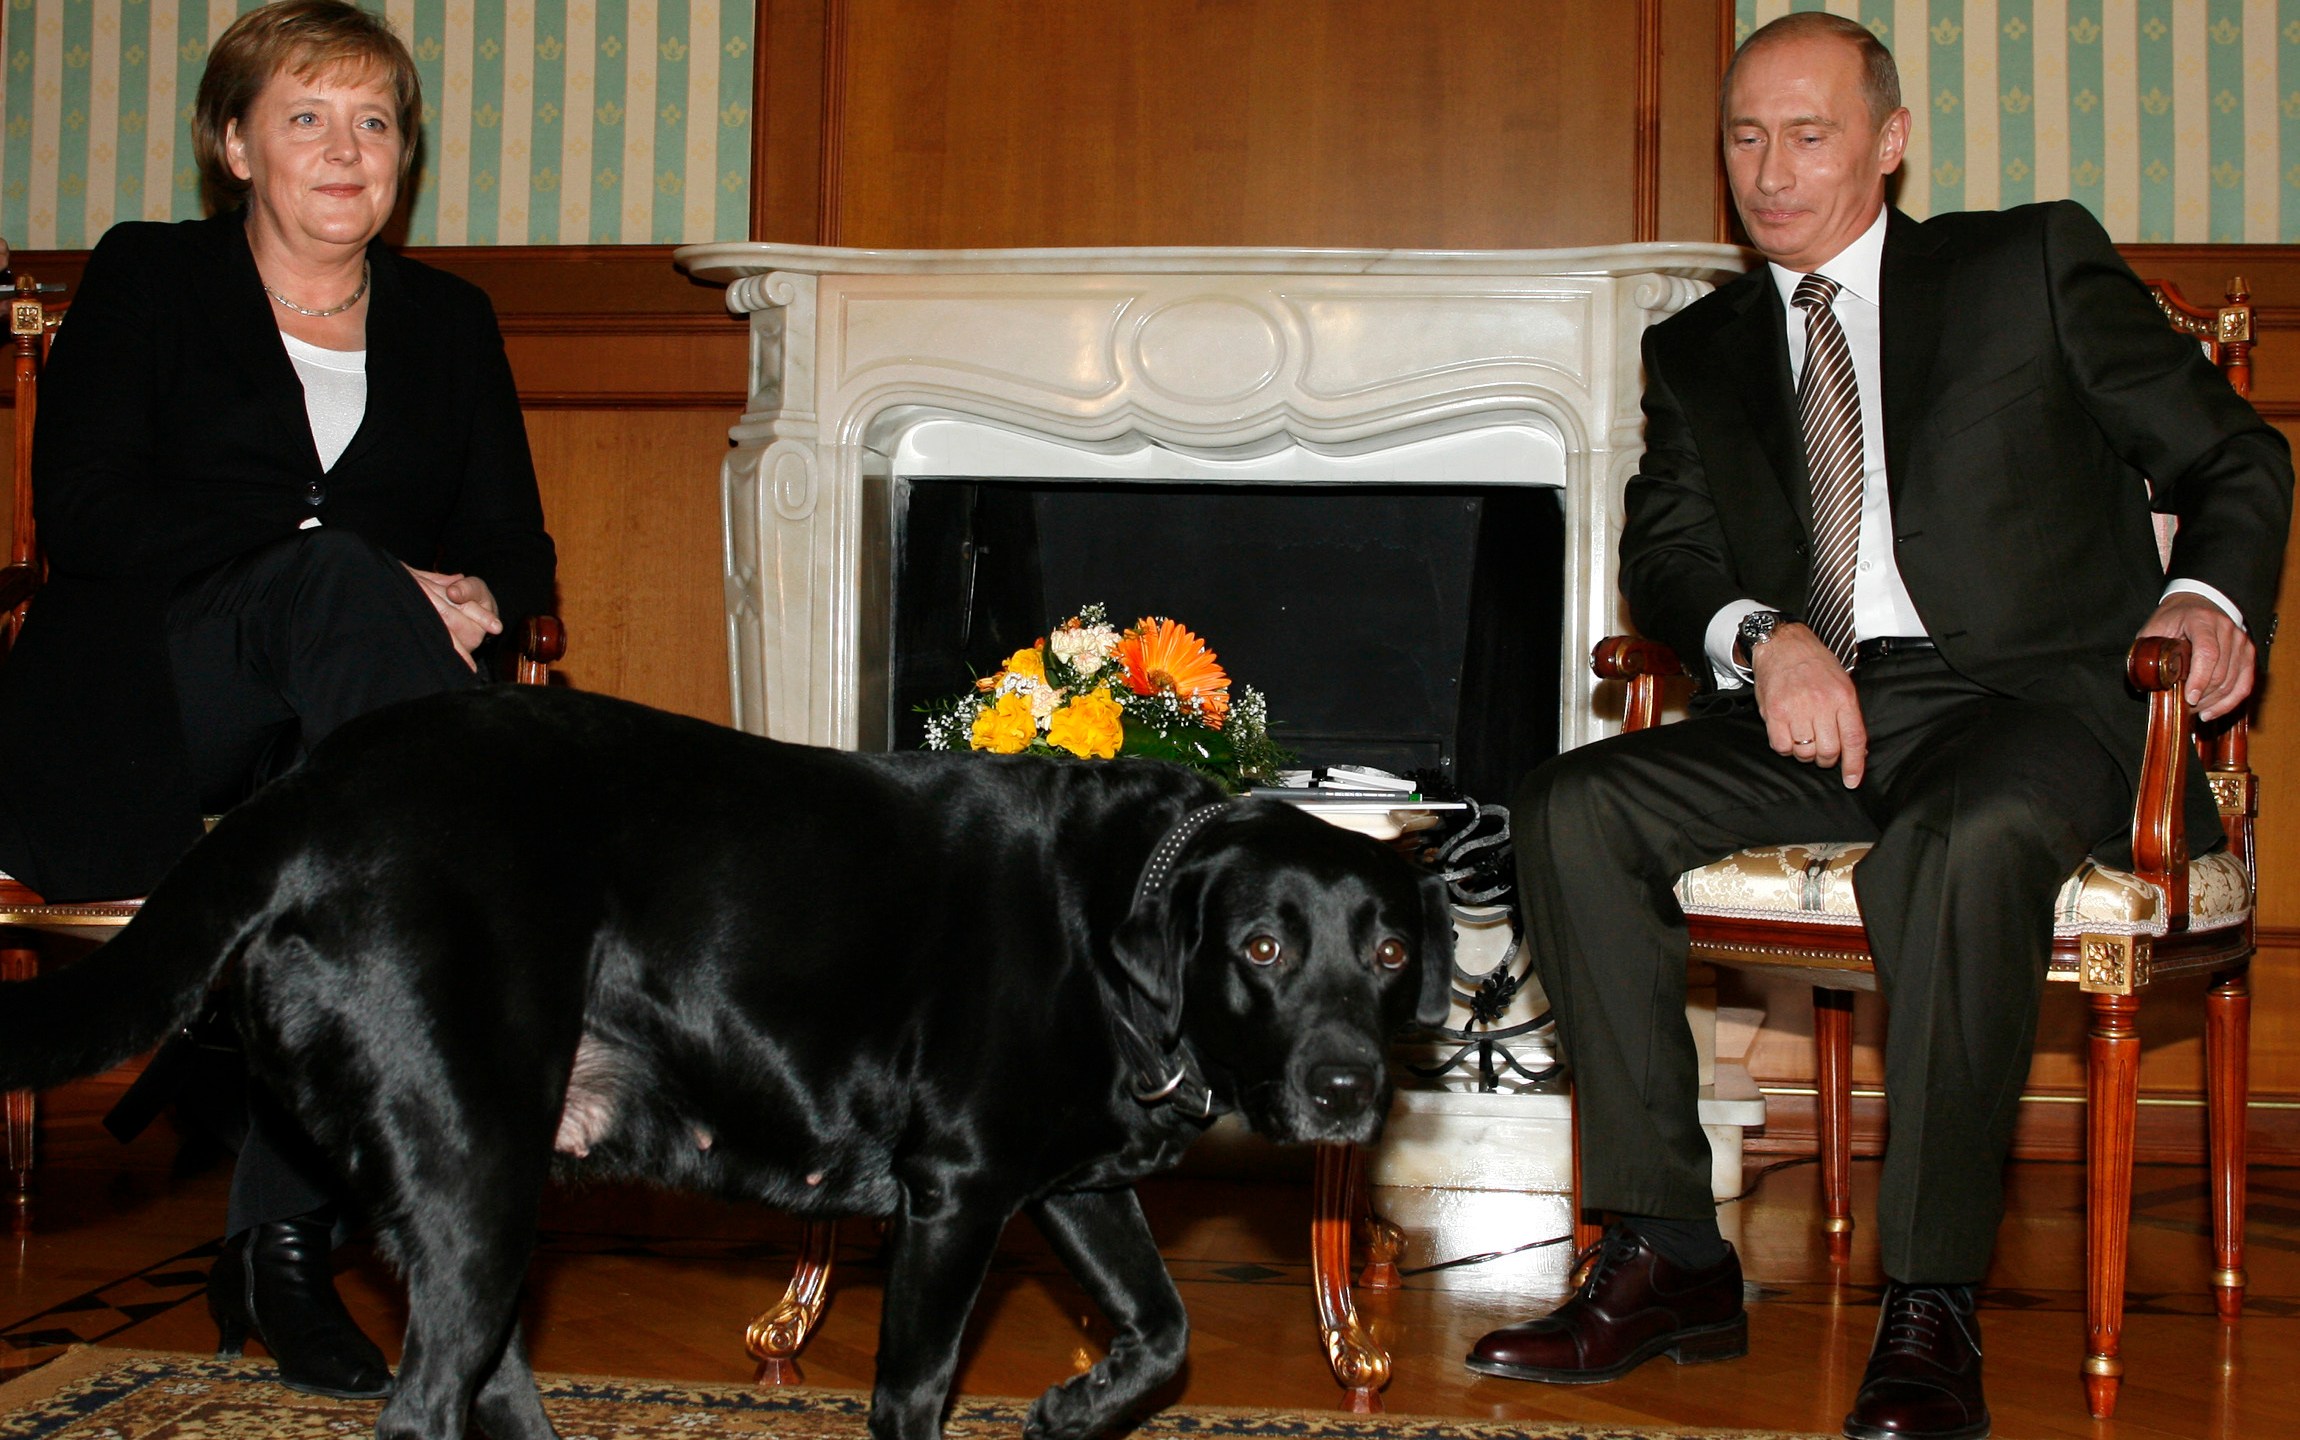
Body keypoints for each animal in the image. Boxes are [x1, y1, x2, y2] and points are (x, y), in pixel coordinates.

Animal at [0, 680, 1444, 1435]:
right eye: (1260, 947)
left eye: (1386, 953)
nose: (1346, 1090)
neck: (1112, 911)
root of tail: (303, 794)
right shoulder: (958, 1194)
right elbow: (915, 1388)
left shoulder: (1070, 1186)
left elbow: (1166, 1331)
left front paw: (1073, 1408)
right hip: (475, 1179)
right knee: (426, 1404)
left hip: (480, 1199)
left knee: (489, 1383)